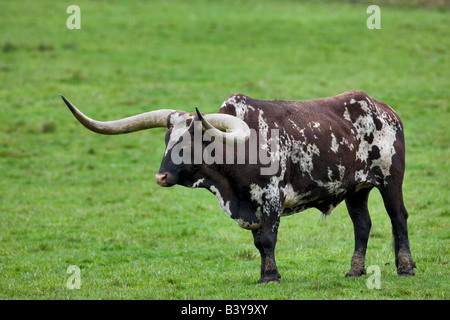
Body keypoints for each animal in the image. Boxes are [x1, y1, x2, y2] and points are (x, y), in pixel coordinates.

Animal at [61, 91, 416, 284]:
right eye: (167, 140)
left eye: (191, 144)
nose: (161, 177)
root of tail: (386, 110)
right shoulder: (251, 204)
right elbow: (258, 242)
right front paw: (265, 273)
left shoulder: (271, 198)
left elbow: (268, 240)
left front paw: (270, 276)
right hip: (357, 189)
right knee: (363, 225)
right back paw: (355, 271)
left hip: (390, 180)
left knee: (398, 217)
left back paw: (405, 268)